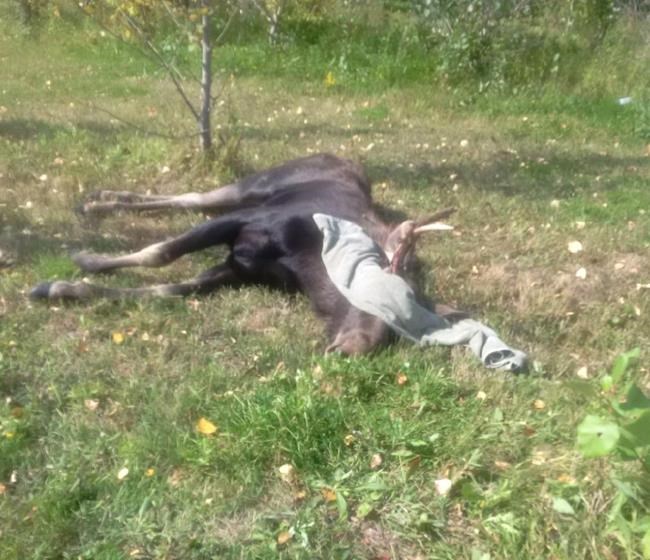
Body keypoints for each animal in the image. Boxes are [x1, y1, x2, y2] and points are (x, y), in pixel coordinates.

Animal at [30, 153, 456, 355]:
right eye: (385, 289)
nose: (355, 350)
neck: (308, 266)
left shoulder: (236, 269)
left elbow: (164, 290)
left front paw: (64, 288)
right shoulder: (249, 220)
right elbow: (159, 253)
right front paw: (89, 261)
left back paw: (100, 199)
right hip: (255, 187)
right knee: (192, 197)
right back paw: (98, 202)